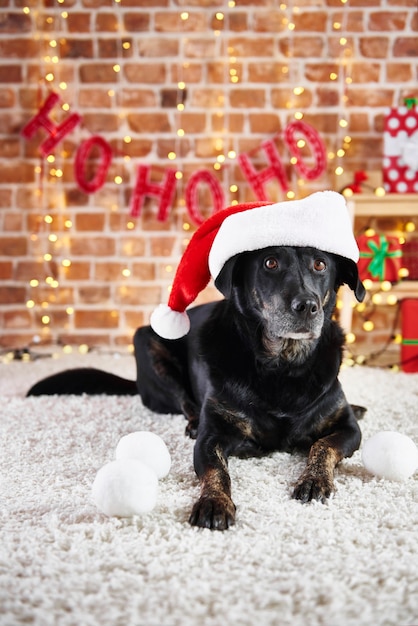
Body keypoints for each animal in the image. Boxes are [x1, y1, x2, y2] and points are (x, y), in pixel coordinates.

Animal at [27, 244, 366, 528]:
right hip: (147, 342)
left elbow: (322, 445)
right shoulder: (210, 437)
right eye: (270, 262)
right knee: (185, 402)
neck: (283, 365)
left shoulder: (349, 429)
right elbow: (217, 470)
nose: (307, 306)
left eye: (320, 264)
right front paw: (215, 502)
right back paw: (191, 421)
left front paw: (314, 480)